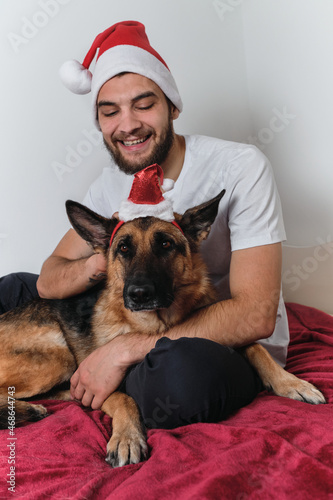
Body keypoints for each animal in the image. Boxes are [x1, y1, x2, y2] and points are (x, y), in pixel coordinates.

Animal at [0, 191, 324, 468]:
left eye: (166, 245)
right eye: (123, 248)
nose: (139, 294)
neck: (157, 324)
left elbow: (256, 347)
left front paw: (291, 383)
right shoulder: (96, 381)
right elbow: (124, 397)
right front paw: (127, 437)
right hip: (59, 358)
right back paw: (25, 411)